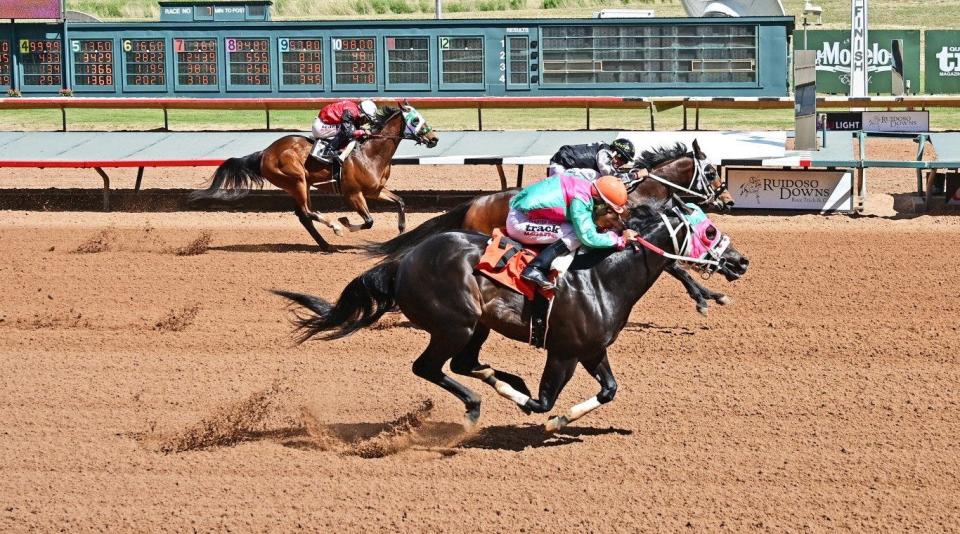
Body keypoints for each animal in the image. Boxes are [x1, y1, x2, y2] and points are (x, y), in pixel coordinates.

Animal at [187, 104, 438, 251]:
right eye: (415, 120)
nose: (434, 138)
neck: (370, 152)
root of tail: (264, 153)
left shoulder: (375, 190)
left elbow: (400, 202)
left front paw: (402, 230)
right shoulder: (353, 194)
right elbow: (368, 222)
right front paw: (344, 223)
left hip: (303, 185)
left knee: (303, 215)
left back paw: (325, 245)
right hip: (296, 180)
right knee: (307, 212)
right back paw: (334, 228)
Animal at [274, 199, 748, 434]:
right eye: (709, 231)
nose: (741, 262)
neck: (602, 278)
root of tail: (403, 262)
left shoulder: (591, 350)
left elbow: (610, 390)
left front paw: (561, 419)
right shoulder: (563, 352)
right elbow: (541, 402)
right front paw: (537, 409)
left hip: (476, 327)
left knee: (462, 363)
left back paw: (493, 380)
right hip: (455, 323)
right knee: (429, 367)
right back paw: (475, 404)